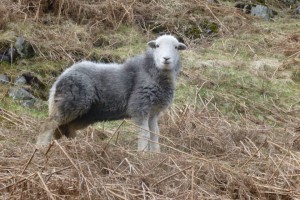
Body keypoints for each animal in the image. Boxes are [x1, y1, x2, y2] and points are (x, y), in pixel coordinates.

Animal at [36, 35, 186, 152]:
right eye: (157, 46)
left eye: (176, 47)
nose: (166, 59)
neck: (150, 72)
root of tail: (60, 77)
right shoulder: (139, 107)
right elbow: (145, 134)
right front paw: (143, 154)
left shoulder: (153, 111)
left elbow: (155, 134)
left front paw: (155, 155)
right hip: (71, 103)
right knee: (48, 125)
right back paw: (42, 147)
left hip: (84, 114)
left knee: (67, 128)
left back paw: (75, 147)